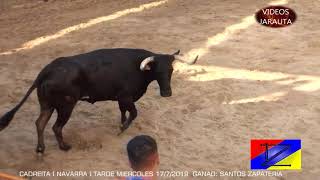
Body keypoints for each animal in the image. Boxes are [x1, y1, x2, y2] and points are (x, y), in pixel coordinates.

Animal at [0, 48, 198, 153]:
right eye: (158, 71)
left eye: (171, 70)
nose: (167, 93)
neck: (138, 69)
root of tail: (47, 70)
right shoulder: (126, 97)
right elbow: (134, 113)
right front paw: (121, 130)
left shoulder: (121, 99)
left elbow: (123, 112)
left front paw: (120, 124)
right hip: (66, 106)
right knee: (55, 127)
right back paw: (64, 146)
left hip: (47, 105)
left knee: (40, 123)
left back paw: (41, 149)